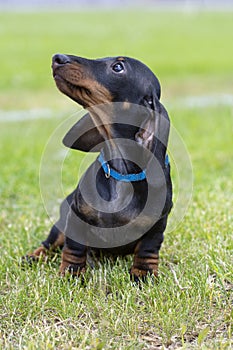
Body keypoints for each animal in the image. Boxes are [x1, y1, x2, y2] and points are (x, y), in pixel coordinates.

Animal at [27, 54, 173, 282]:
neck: (122, 175)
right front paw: (71, 272)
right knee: (50, 243)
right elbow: (74, 248)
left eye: (118, 67)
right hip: (60, 221)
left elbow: (148, 250)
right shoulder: (77, 215)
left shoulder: (157, 226)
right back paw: (35, 255)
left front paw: (143, 274)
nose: (58, 57)